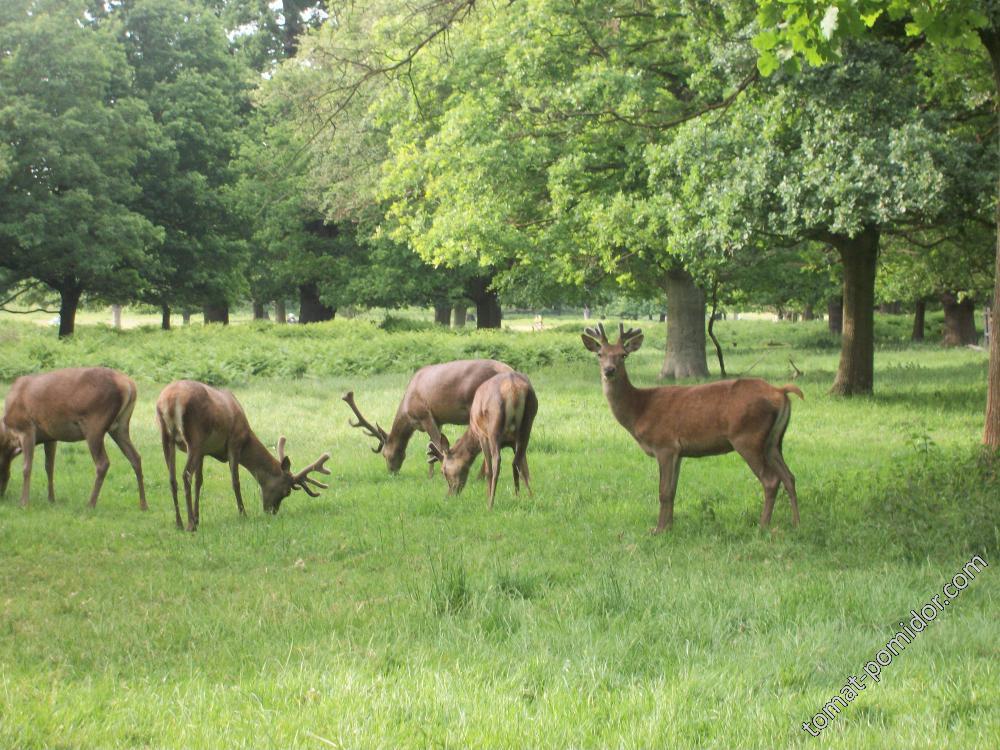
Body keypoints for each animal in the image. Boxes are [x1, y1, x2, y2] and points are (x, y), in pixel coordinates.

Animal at [0, 366, 146, 508]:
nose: (2, 496)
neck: (8, 431)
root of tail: (129, 385)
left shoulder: (26, 428)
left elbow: (27, 467)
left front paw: (24, 503)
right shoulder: (50, 437)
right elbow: (49, 467)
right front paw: (51, 499)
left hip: (95, 424)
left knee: (103, 463)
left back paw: (90, 504)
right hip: (121, 426)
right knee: (135, 457)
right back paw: (143, 505)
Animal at [154, 382, 330, 536]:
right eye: (287, 492)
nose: (272, 511)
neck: (247, 439)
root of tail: (169, 400)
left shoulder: (204, 451)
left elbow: (199, 482)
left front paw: (197, 517)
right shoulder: (234, 442)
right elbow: (235, 482)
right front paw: (243, 513)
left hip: (166, 437)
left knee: (172, 479)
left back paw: (179, 523)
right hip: (195, 436)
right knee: (185, 475)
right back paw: (190, 525)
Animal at [344, 358, 516, 476]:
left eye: (385, 454)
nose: (392, 472)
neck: (407, 411)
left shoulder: (424, 414)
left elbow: (437, 444)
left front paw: (441, 471)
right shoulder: (438, 419)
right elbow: (431, 446)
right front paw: (430, 475)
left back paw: (482, 476)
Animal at [428, 374, 544, 512]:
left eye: (443, 471)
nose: (449, 495)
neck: (472, 429)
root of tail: (513, 388)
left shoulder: (482, 435)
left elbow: (488, 468)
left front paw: (488, 497)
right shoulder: (513, 442)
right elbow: (521, 465)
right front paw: (522, 495)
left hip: (494, 425)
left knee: (496, 463)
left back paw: (490, 504)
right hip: (527, 423)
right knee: (518, 460)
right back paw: (527, 496)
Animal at [580, 324, 804, 536]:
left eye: (623, 355)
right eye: (600, 354)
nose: (609, 370)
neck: (639, 411)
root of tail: (780, 391)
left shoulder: (664, 445)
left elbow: (663, 491)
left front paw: (658, 530)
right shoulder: (679, 452)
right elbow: (673, 490)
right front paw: (669, 527)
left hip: (748, 437)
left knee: (771, 480)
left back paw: (763, 526)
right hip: (773, 441)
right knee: (789, 477)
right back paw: (795, 524)